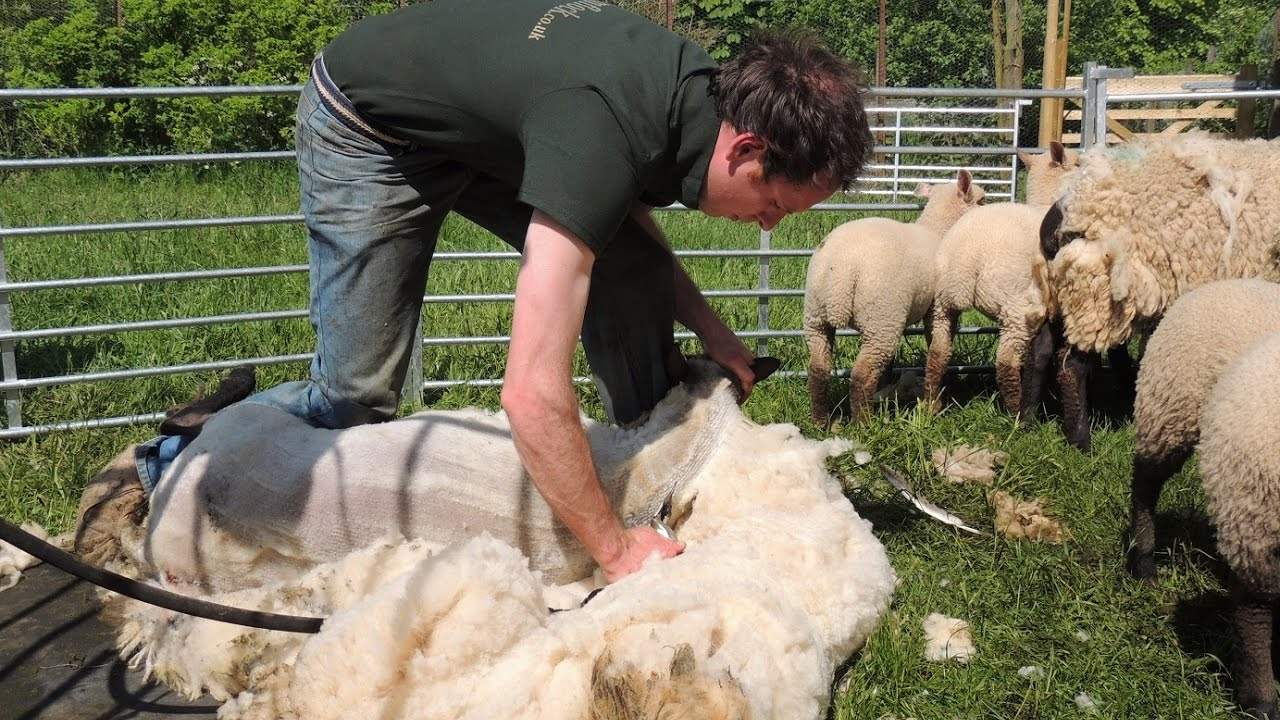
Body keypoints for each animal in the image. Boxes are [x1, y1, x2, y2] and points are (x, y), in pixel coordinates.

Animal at [803, 170, 983, 422]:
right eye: (982, 201)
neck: (939, 230)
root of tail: (840, 269)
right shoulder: (939, 307)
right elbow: (939, 353)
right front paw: (933, 407)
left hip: (818, 315)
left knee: (818, 369)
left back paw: (821, 421)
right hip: (882, 317)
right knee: (861, 375)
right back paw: (864, 423)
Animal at [921, 141, 1080, 420]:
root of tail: (968, 255)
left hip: (942, 304)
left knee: (938, 353)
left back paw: (931, 406)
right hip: (1018, 309)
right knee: (1006, 362)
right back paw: (1017, 415)